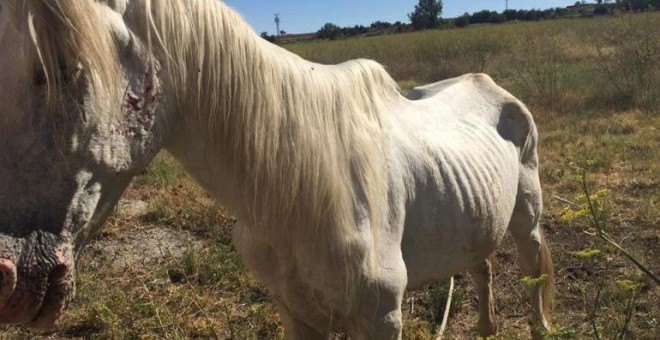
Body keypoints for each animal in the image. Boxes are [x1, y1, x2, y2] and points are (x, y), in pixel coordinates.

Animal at [0, 1, 556, 338]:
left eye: (59, 71)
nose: (11, 282)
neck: (302, 189)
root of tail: (491, 85)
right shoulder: (296, 313)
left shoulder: (381, 318)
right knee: (481, 265)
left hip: (526, 221)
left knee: (532, 270)